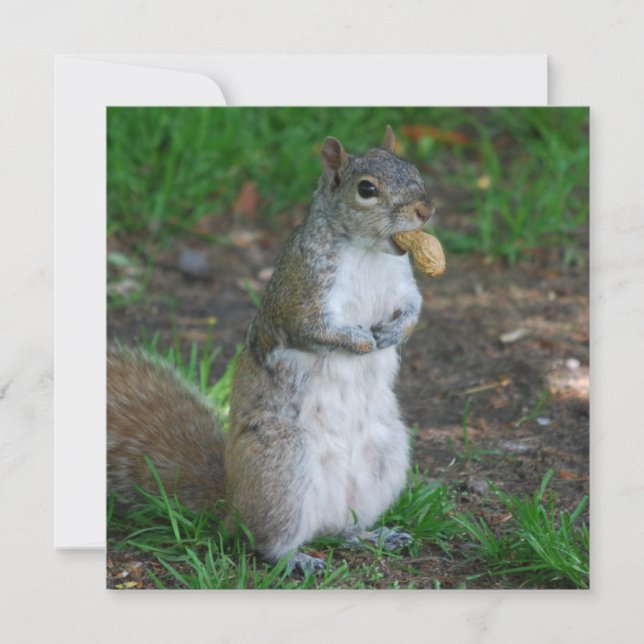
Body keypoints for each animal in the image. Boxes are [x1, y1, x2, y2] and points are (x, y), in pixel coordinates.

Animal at [108, 126, 434, 572]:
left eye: (414, 170)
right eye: (366, 189)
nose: (425, 211)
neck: (369, 253)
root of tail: (232, 505)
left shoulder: (402, 283)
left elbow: (415, 308)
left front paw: (395, 333)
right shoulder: (301, 292)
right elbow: (313, 329)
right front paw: (361, 341)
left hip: (386, 454)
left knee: (343, 528)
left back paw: (372, 534)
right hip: (281, 466)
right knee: (267, 542)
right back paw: (297, 559)